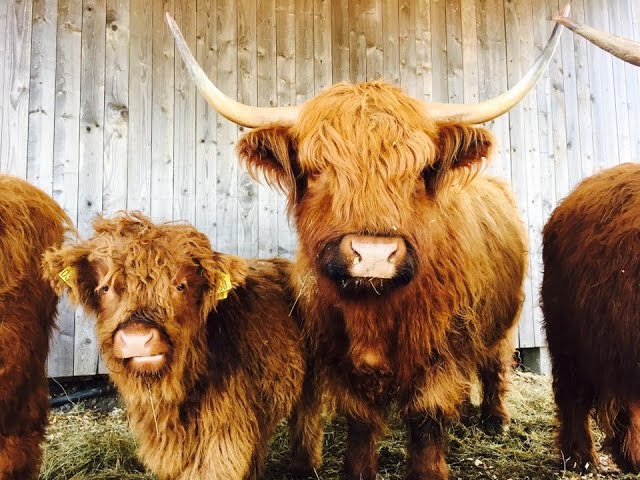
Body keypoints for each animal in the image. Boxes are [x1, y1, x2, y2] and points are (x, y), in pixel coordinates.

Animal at [166, 8, 568, 480]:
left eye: (420, 170)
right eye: (317, 169)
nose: (373, 255)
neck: (377, 311)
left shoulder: (440, 351)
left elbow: (427, 420)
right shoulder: (339, 353)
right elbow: (359, 420)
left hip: (505, 315)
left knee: (496, 362)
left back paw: (495, 419)